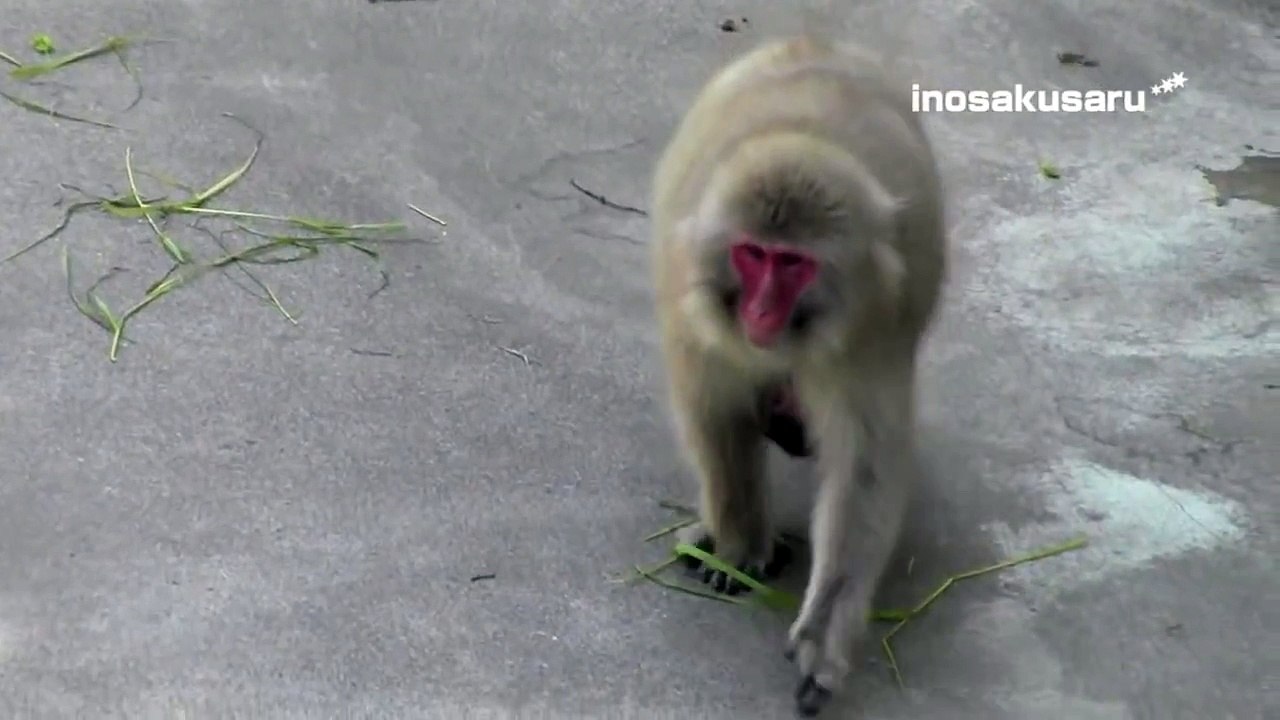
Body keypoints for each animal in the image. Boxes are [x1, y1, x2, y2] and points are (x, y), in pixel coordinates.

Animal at [649, 34, 946, 717]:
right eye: (753, 255)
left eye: (792, 264)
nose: (760, 312)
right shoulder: (693, 298)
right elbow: (714, 411)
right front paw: (740, 543)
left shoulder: (871, 329)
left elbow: (863, 464)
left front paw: (824, 632)